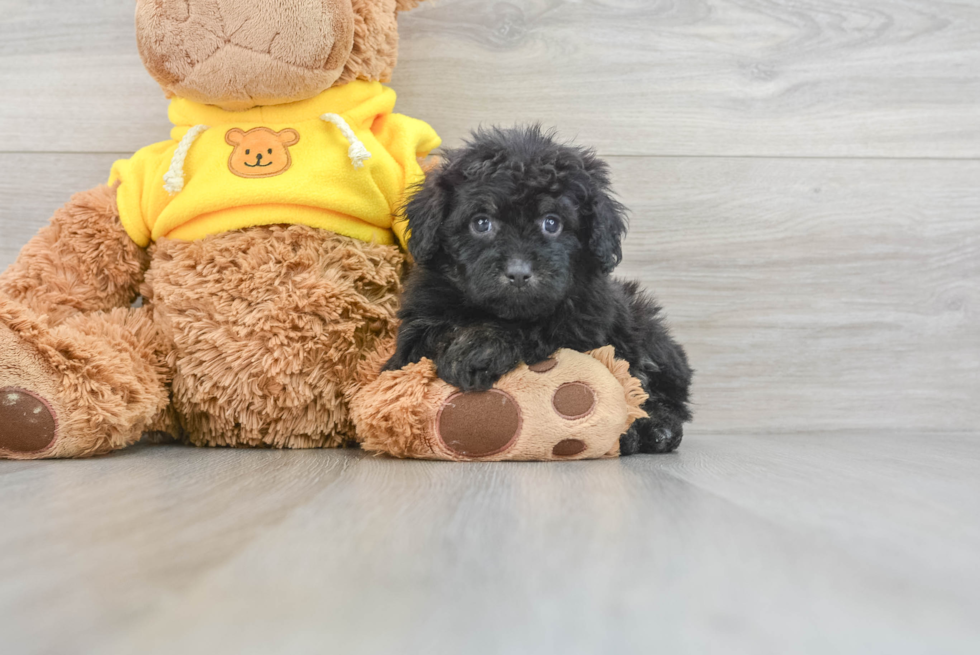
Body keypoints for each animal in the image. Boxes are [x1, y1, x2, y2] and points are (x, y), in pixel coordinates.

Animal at [386, 128, 692, 456]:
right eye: (481, 223)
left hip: (648, 334)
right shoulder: (420, 318)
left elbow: (534, 327)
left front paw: (477, 349)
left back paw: (654, 429)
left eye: (552, 223)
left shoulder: (580, 322)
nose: (519, 273)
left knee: (659, 393)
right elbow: (422, 342)